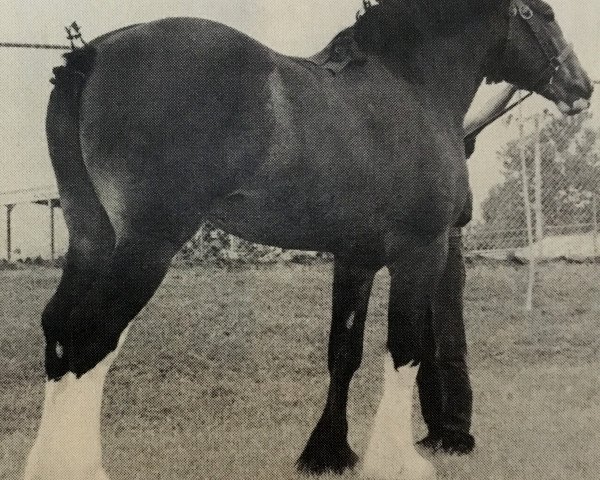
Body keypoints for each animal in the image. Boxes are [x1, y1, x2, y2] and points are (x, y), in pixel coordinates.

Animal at [23, 0, 592, 480]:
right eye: (545, 13)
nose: (581, 87)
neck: (410, 86)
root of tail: (93, 54)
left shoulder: (356, 258)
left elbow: (344, 352)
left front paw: (328, 453)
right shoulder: (421, 251)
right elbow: (405, 348)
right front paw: (396, 460)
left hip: (91, 236)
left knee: (59, 328)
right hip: (147, 244)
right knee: (91, 338)